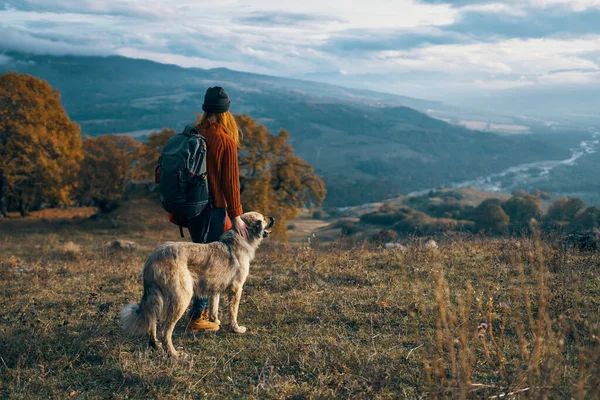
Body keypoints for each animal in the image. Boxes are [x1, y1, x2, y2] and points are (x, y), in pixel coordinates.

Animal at [119, 212, 274, 356]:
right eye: (263, 218)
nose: (272, 218)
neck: (239, 239)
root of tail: (154, 257)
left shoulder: (214, 289)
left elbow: (214, 308)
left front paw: (215, 321)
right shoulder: (236, 289)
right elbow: (233, 312)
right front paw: (235, 329)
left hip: (156, 298)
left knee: (152, 321)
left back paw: (154, 344)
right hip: (182, 298)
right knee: (165, 330)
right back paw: (173, 353)